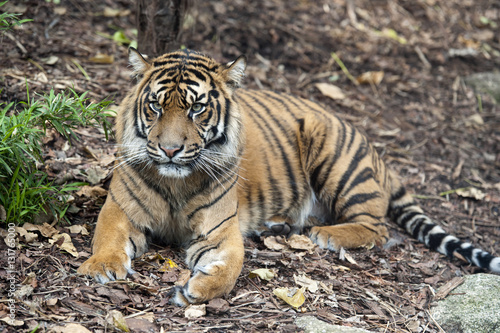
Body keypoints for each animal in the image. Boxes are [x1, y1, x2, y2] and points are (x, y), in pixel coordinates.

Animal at [77, 48, 500, 304]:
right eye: (155, 106)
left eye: (197, 108)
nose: (169, 150)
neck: (175, 180)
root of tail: (374, 148)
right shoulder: (119, 208)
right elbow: (107, 238)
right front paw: (101, 267)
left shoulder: (219, 230)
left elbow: (227, 268)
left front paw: (196, 288)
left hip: (334, 158)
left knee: (377, 228)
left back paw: (326, 235)